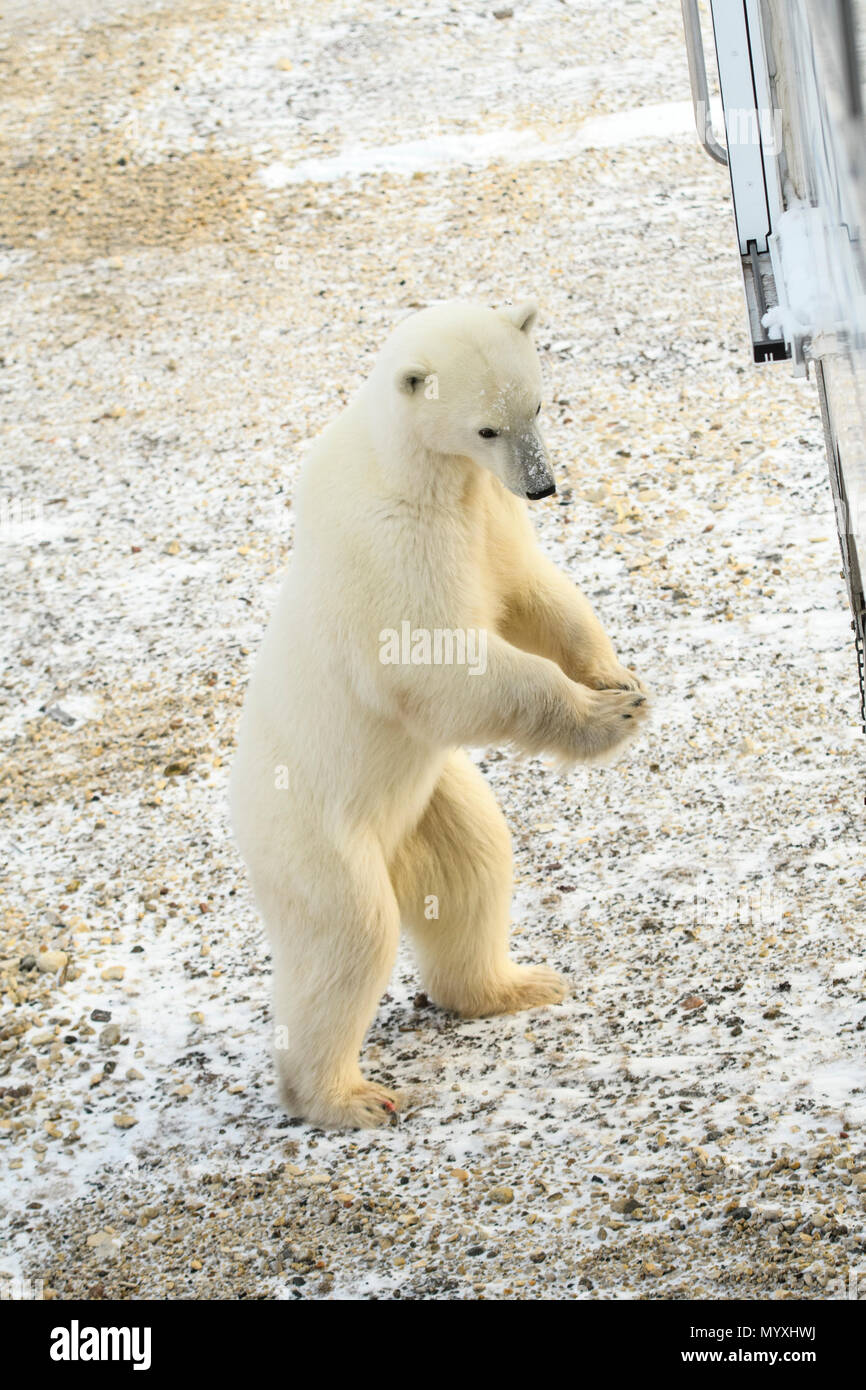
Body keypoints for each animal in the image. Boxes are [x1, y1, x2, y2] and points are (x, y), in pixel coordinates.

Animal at [230, 296, 650, 1128]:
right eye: (485, 429)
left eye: (537, 407)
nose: (542, 486)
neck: (414, 467)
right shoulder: (395, 539)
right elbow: (432, 662)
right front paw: (604, 719)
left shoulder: (484, 512)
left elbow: (530, 593)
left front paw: (618, 678)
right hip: (312, 832)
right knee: (348, 936)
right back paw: (346, 1097)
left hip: (428, 799)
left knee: (471, 867)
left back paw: (514, 985)